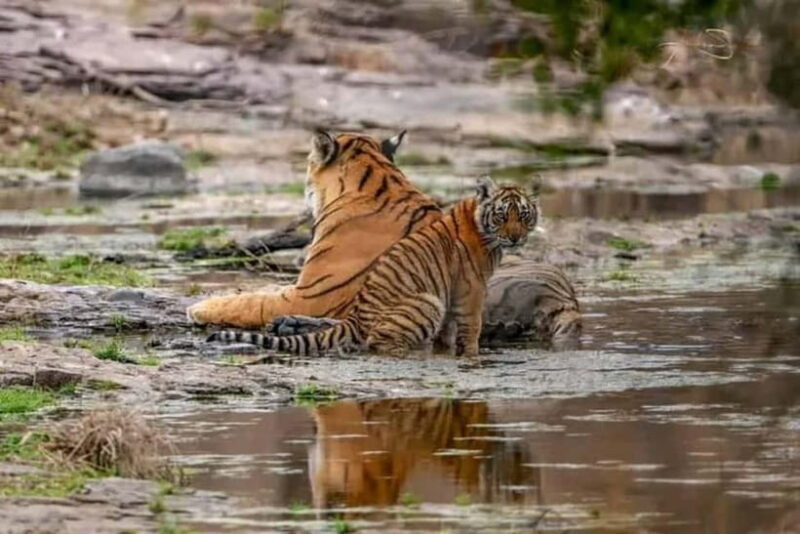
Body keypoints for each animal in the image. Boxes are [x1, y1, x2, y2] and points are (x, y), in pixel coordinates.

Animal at [207, 177, 539, 359]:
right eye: (501, 215)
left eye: (523, 215)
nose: (515, 237)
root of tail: (357, 315)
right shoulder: (470, 288)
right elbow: (471, 328)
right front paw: (471, 355)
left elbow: (448, 333)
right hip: (427, 301)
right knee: (376, 342)